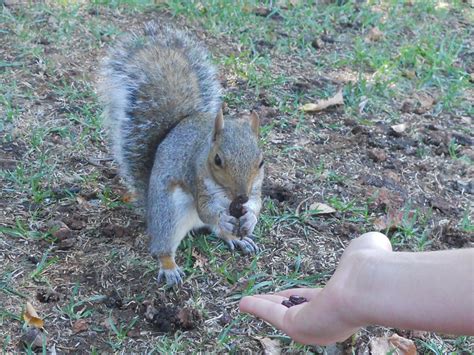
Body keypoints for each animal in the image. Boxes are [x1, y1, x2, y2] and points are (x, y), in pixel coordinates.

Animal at [98, 23, 264, 286]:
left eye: (261, 162)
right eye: (217, 160)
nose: (241, 197)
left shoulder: (255, 187)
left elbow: (257, 204)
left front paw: (250, 219)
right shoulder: (196, 177)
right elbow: (206, 209)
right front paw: (223, 217)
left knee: (215, 230)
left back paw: (236, 238)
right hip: (168, 211)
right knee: (165, 243)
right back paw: (169, 267)